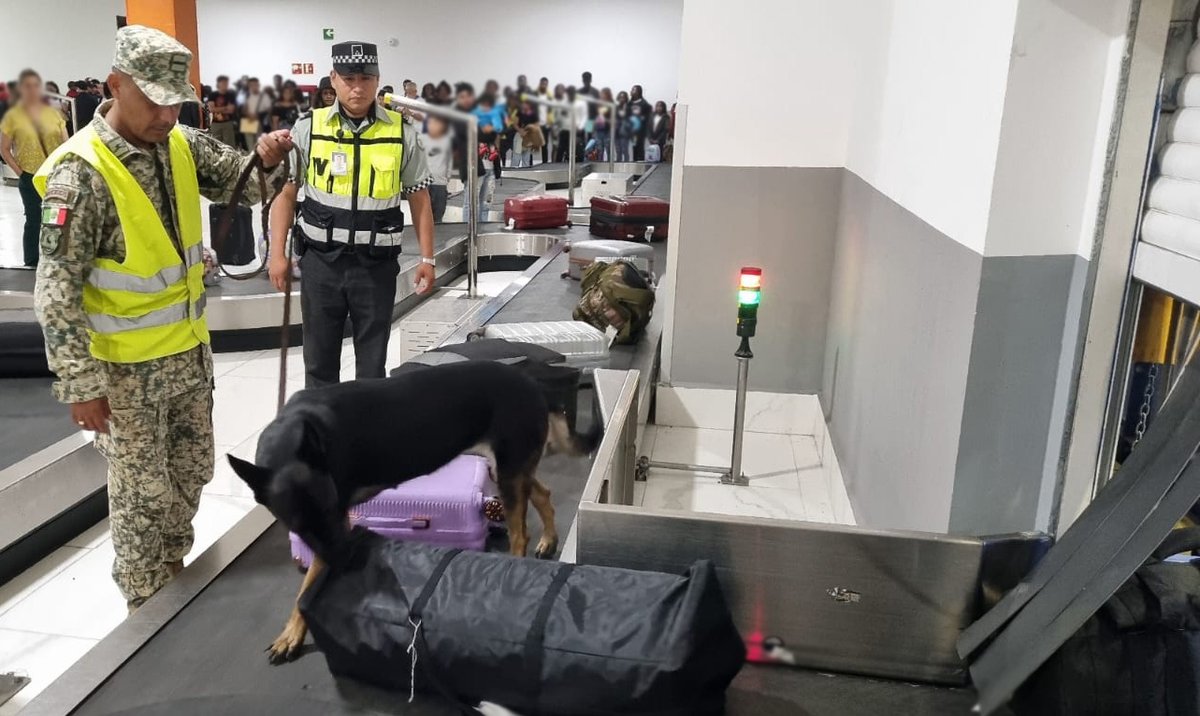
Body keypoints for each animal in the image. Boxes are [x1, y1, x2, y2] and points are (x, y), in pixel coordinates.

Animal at [225, 359, 600, 662]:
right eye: (296, 526)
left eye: (332, 510)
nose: (348, 562)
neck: (291, 438)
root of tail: (534, 384)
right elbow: (308, 581)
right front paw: (292, 631)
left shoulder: (338, 523)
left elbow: (308, 584)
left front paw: (293, 632)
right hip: (508, 469)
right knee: (542, 494)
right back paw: (549, 540)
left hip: (508, 473)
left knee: (520, 531)